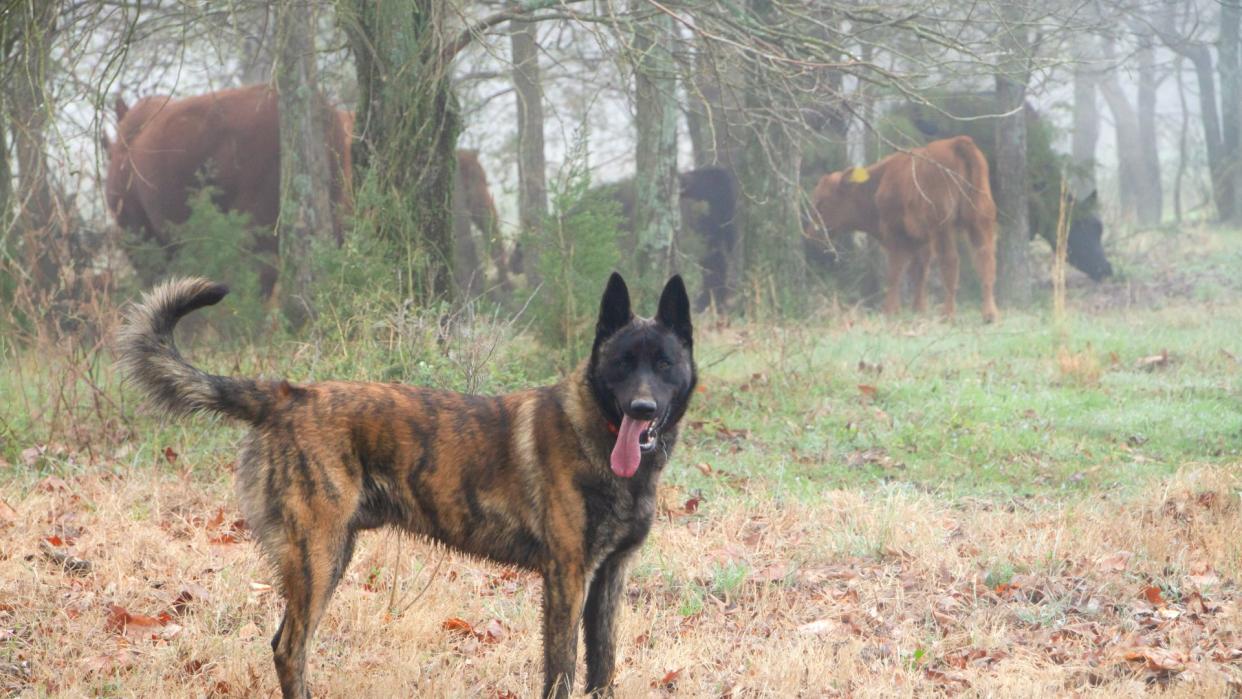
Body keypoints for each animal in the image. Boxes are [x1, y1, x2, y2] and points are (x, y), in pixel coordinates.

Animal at [804, 134, 998, 322]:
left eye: (821, 201)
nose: (810, 232)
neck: (881, 179)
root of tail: (957, 143)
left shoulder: (896, 234)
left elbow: (895, 272)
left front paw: (890, 311)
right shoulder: (921, 240)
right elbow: (919, 272)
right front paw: (918, 309)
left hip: (943, 228)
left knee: (951, 261)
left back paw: (948, 314)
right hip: (980, 221)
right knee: (985, 259)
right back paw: (989, 314)